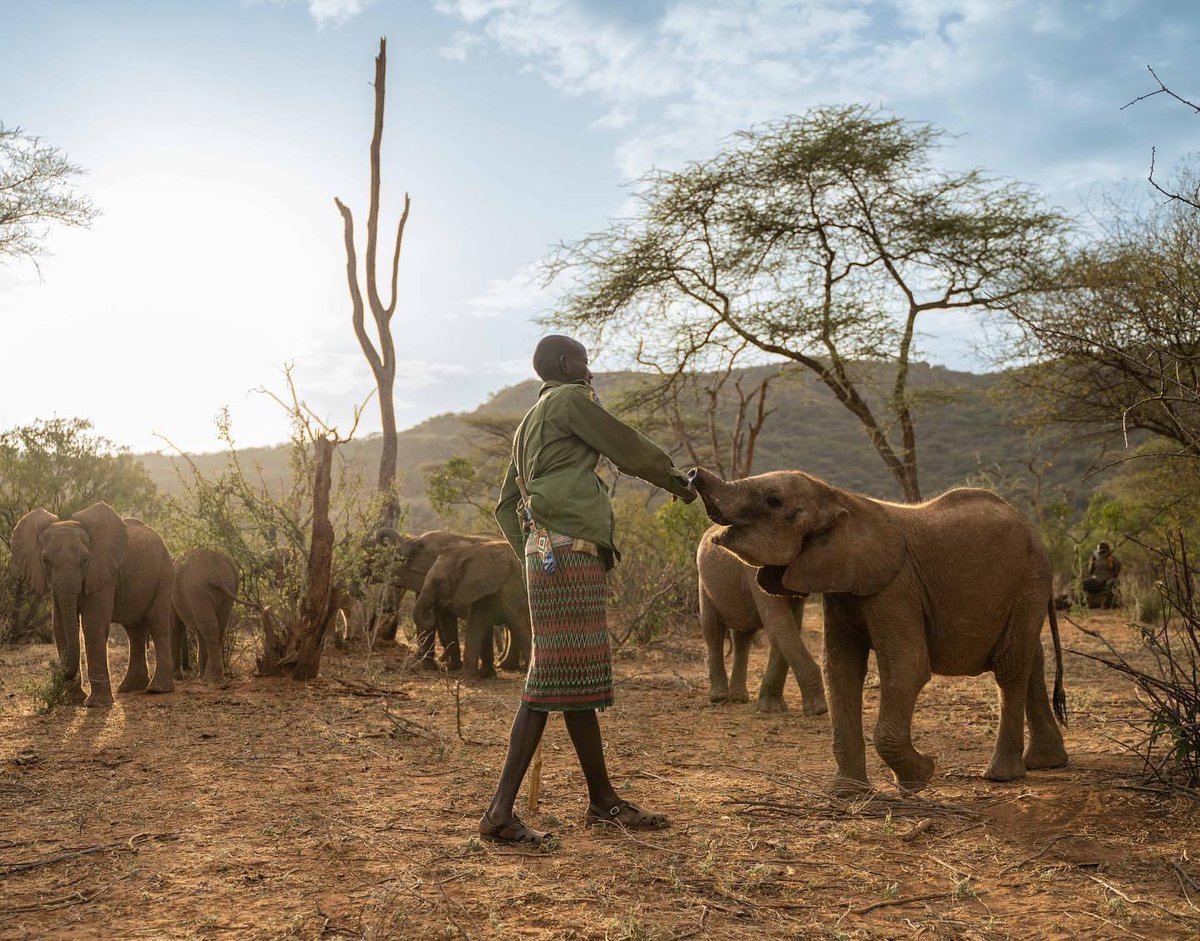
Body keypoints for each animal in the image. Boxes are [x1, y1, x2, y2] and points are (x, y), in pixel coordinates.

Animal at [11, 502, 176, 707]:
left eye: (85, 560)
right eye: (45, 561)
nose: (58, 670)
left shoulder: (103, 573)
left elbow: (93, 625)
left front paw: (96, 704)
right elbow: (59, 628)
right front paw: (73, 701)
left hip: (165, 573)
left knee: (157, 624)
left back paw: (157, 690)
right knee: (134, 631)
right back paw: (129, 687)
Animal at [171, 547, 239, 685]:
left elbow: (175, 626)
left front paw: (177, 677)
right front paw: (199, 676)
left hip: (197, 588)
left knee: (210, 628)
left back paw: (214, 679)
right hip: (228, 587)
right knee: (218, 627)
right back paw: (211, 678)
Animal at [412, 540, 532, 679]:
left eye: (437, 582)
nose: (433, 607)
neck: (467, 553)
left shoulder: (511, 584)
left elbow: (518, 621)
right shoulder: (481, 588)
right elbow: (477, 623)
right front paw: (473, 676)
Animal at [697, 526, 827, 715]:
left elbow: (790, 625)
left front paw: (771, 708)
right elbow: (779, 623)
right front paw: (819, 710)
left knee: (743, 636)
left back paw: (739, 698)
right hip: (704, 584)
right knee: (713, 630)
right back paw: (719, 698)